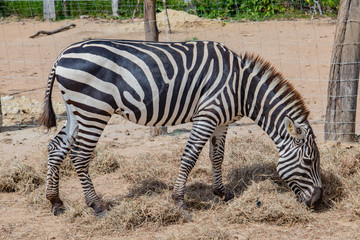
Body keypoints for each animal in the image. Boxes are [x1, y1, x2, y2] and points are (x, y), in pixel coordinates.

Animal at [40, 39, 324, 216]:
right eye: (309, 162)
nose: (319, 201)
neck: (242, 88)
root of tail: (62, 54)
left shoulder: (222, 120)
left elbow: (217, 156)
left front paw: (221, 193)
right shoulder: (207, 114)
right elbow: (190, 157)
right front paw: (179, 201)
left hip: (75, 109)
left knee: (56, 147)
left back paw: (55, 202)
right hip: (93, 109)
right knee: (80, 155)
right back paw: (96, 205)